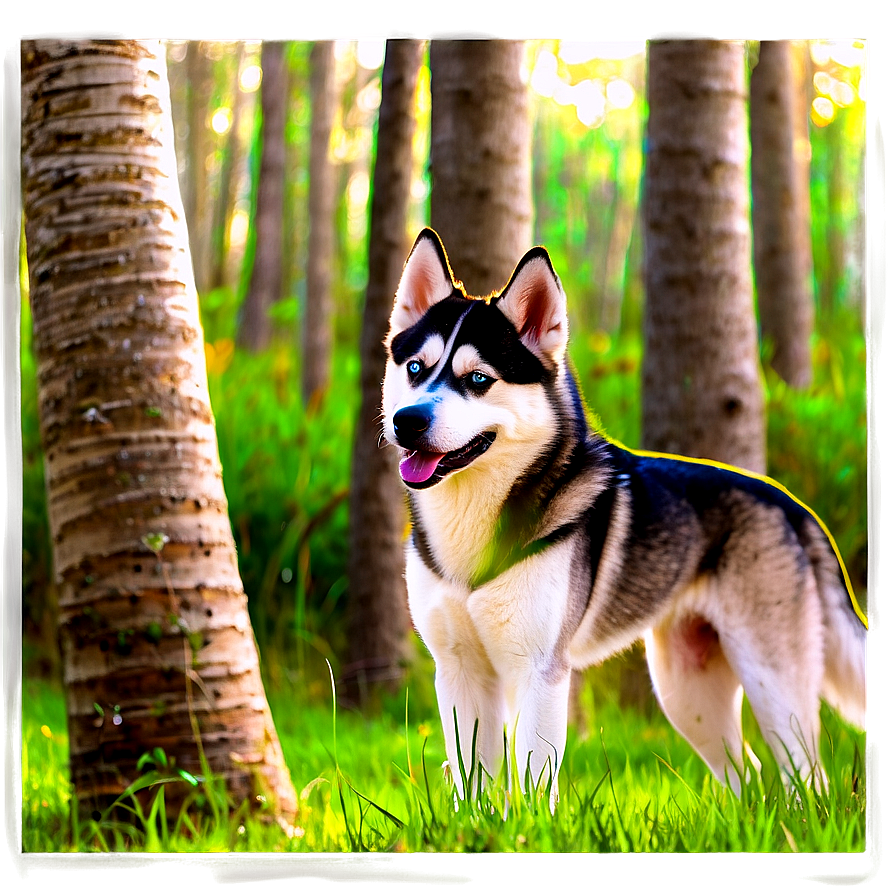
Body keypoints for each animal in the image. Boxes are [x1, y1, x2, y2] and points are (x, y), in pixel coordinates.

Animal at [380, 229, 868, 804]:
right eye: (415, 369)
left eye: (477, 379)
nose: (407, 421)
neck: (473, 525)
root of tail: (789, 503)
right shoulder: (458, 669)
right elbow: (473, 786)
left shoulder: (540, 671)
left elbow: (533, 782)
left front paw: (528, 825)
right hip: (687, 693)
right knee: (745, 775)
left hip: (774, 683)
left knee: (807, 779)